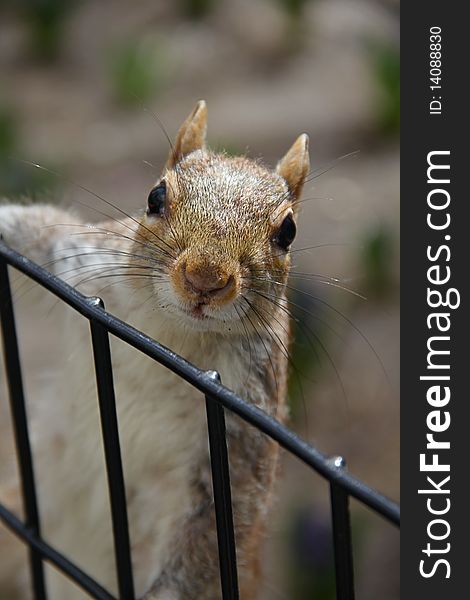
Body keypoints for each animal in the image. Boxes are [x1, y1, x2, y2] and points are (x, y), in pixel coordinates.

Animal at [0, 101, 310, 596]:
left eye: (288, 231)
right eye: (155, 197)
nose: (205, 278)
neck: (170, 332)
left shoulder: (243, 418)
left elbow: (212, 531)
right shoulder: (79, 260)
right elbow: (33, 233)